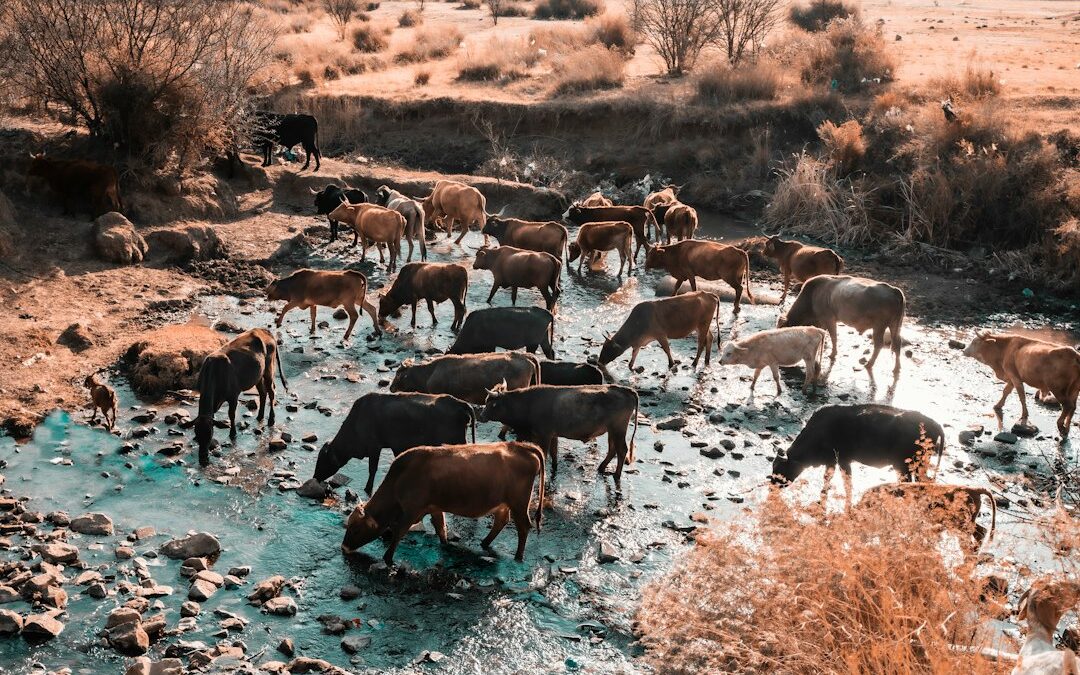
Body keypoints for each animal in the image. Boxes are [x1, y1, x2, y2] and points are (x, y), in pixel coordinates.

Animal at [193, 328, 287, 466]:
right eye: (197, 434)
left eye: (210, 434)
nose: (203, 458)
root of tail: (264, 330)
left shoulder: (233, 396)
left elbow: (231, 415)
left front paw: (233, 433)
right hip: (258, 375)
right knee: (263, 393)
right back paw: (260, 416)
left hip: (269, 370)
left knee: (271, 392)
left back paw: (271, 420)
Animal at [313, 392, 476, 494]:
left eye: (322, 460)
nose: (315, 477)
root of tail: (460, 403)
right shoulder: (395, 446)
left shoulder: (375, 447)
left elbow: (372, 469)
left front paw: (368, 489)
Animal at [341, 442, 545, 564]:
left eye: (356, 529)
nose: (343, 548)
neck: (400, 479)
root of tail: (520, 446)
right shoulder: (434, 508)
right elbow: (441, 528)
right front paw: (445, 544)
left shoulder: (412, 511)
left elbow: (399, 532)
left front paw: (387, 558)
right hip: (502, 503)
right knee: (501, 521)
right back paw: (485, 543)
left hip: (519, 503)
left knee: (524, 526)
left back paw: (518, 557)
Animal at [480, 383, 639, 483]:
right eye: (486, 401)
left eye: (492, 404)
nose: (481, 416)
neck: (528, 403)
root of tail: (626, 390)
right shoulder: (553, 434)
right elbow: (554, 453)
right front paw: (554, 469)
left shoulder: (544, 435)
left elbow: (544, 453)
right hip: (612, 431)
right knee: (613, 449)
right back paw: (601, 468)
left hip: (618, 429)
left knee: (621, 450)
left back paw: (616, 475)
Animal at [770, 404, 945, 506]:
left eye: (780, 469)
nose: (772, 487)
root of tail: (935, 423)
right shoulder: (832, 461)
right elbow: (828, 478)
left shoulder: (843, 460)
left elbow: (846, 481)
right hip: (918, 465)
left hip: (904, 466)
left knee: (910, 483)